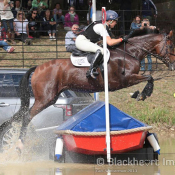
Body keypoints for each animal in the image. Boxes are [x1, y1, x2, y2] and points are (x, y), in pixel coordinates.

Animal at [12, 28, 175, 150]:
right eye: (171, 46)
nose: (173, 65)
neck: (129, 52)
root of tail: (37, 68)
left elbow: (149, 78)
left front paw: (138, 94)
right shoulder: (125, 79)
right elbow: (149, 77)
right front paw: (142, 94)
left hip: (51, 97)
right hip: (45, 98)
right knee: (27, 116)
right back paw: (20, 144)